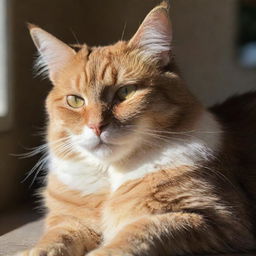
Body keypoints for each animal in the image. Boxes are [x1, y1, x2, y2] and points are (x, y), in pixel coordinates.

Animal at [17, 2, 256, 256]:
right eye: (75, 101)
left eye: (125, 92)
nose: (96, 126)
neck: (111, 176)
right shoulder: (72, 221)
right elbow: (54, 238)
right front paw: (35, 251)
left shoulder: (217, 218)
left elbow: (141, 230)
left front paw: (105, 250)